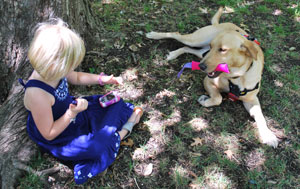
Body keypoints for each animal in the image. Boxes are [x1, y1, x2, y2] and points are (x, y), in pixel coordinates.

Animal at [147, 7, 278, 147]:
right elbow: (218, 98)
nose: (201, 66)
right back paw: (154, 35)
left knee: (188, 48)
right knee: (176, 34)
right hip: (197, 40)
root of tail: (220, 24)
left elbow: (261, 117)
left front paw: (269, 135)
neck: (237, 77)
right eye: (212, 46)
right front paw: (205, 100)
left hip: (200, 53)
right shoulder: (208, 81)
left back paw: (174, 53)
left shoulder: (252, 100)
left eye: (223, 50)